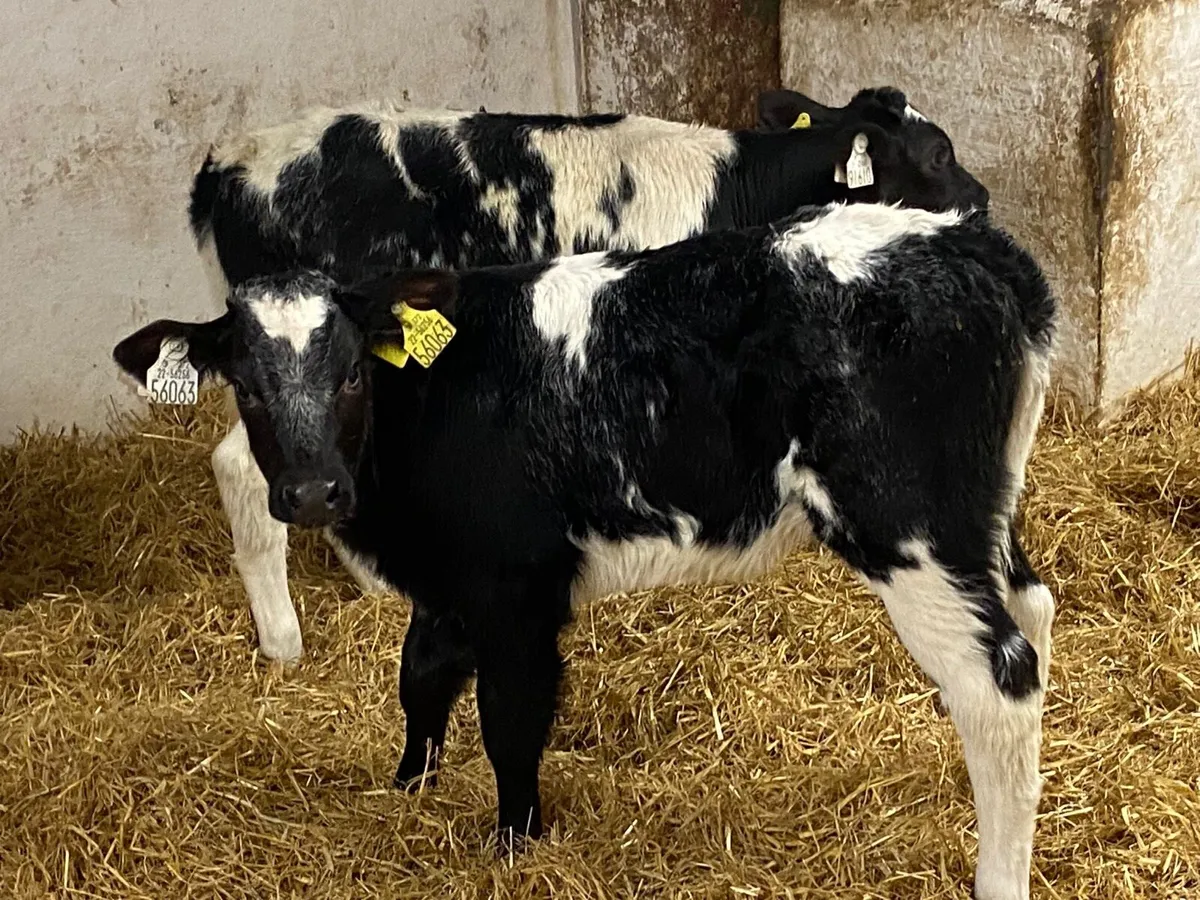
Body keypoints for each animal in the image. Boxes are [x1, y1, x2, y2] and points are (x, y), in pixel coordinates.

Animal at [115, 200, 1055, 900]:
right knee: (1033, 609)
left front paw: (512, 844)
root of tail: (968, 241)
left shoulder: (514, 587)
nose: (313, 492)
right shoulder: (451, 579)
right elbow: (420, 679)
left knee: (997, 681)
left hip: (905, 524)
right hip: (981, 511)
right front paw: (409, 788)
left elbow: (510, 719)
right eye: (246, 386)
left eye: (351, 372)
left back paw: (997, 878)